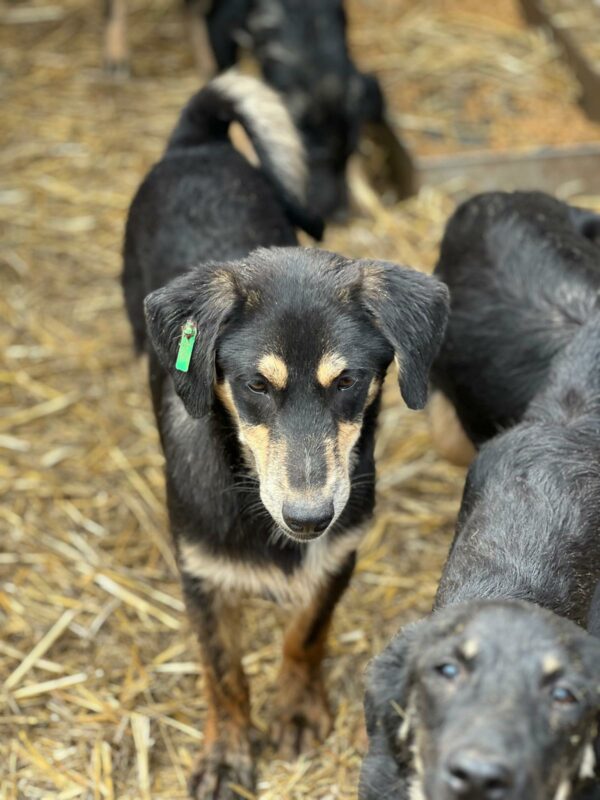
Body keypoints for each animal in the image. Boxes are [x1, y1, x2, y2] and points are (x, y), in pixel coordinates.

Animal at [123, 72, 450, 796]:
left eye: (349, 380)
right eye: (255, 385)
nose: (308, 517)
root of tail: (198, 140)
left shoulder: (340, 554)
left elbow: (306, 632)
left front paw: (297, 710)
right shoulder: (201, 573)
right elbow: (223, 672)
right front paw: (227, 754)